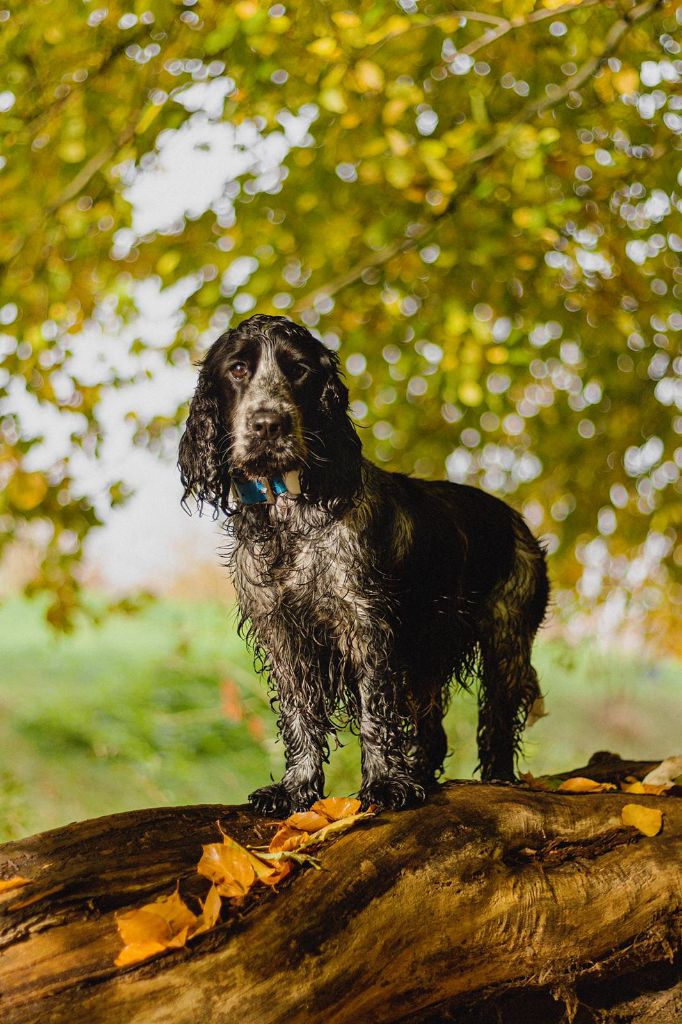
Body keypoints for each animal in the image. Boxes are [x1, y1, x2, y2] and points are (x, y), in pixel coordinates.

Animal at [176, 313, 548, 815]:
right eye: (237, 369)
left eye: (298, 370)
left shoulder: (367, 626)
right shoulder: (283, 633)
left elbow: (376, 711)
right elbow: (299, 715)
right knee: (433, 732)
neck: (289, 517)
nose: (269, 424)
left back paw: (497, 780)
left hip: (505, 639)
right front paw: (296, 788)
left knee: (497, 720)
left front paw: (386, 783)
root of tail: (514, 519)